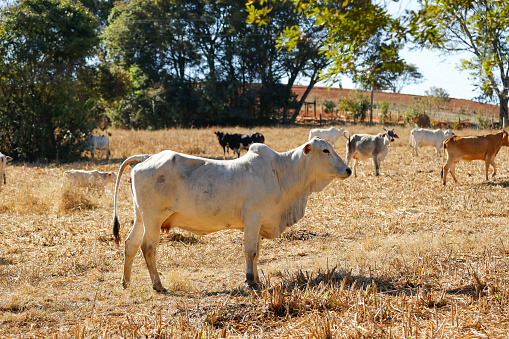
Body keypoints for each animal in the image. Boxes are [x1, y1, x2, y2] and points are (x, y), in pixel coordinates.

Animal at [110, 137, 350, 292]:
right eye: (325, 151)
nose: (348, 169)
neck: (282, 172)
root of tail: (146, 158)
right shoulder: (253, 218)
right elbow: (250, 251)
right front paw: (250, 281)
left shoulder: (259, 223)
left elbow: (257, 253)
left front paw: (256, 278)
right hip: (153, 218)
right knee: (148, 247)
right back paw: (158, 285)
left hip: (141, 217)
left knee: (131, 244)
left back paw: (126, 281)